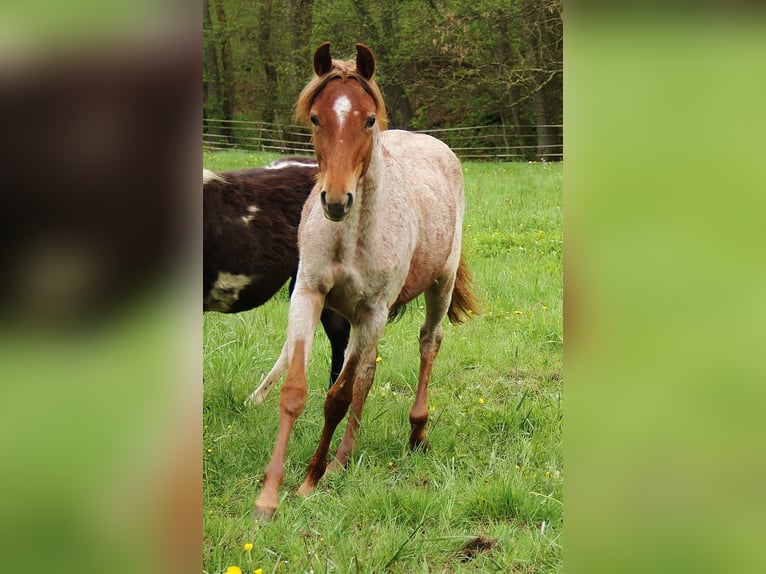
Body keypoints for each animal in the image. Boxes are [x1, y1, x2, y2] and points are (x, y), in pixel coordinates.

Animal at [252, 44, 480, 520]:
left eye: (369, 119)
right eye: (316, 117)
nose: (337, 200)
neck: (349, 237)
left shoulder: (374, 310)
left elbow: (337, 398)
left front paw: (310, 479)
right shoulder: (308, 295)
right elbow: (296, 391)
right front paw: (269, 496)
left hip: (439, 284)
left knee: (428, 343)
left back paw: (414, 434)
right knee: (366, 373)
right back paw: (343, 459)